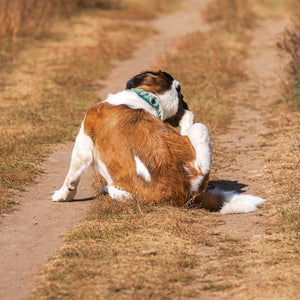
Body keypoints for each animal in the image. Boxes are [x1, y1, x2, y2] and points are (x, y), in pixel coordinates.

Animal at [52, 69, 264, 213]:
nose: (186, 106)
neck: (149, 99)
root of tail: (186, 195)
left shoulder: (83, 140)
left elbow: (72, 176)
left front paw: (63, 195)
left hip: (200, 129)